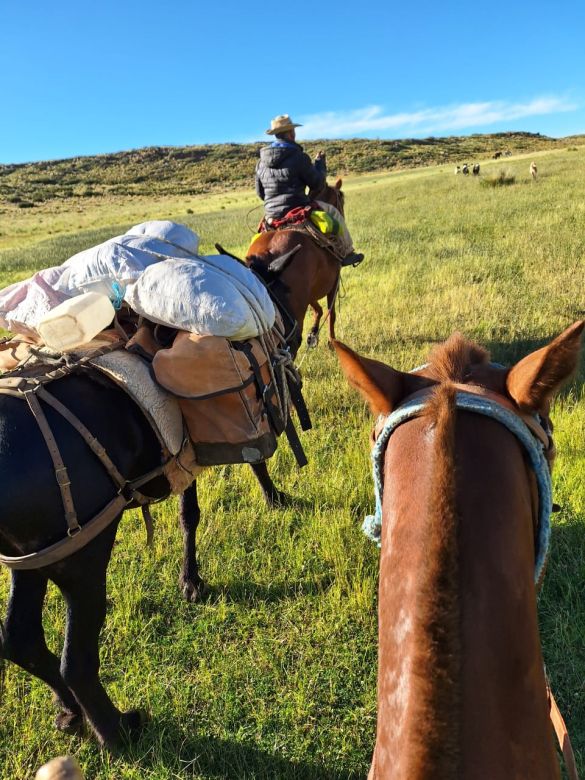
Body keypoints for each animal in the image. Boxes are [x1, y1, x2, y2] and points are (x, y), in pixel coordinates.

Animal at [248, 180, 346, 348]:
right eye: (341, 200)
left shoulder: (310, 292)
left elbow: (318, 309)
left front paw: (313, 334)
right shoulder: (333, 284)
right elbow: (330, 313)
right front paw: (332, 341)